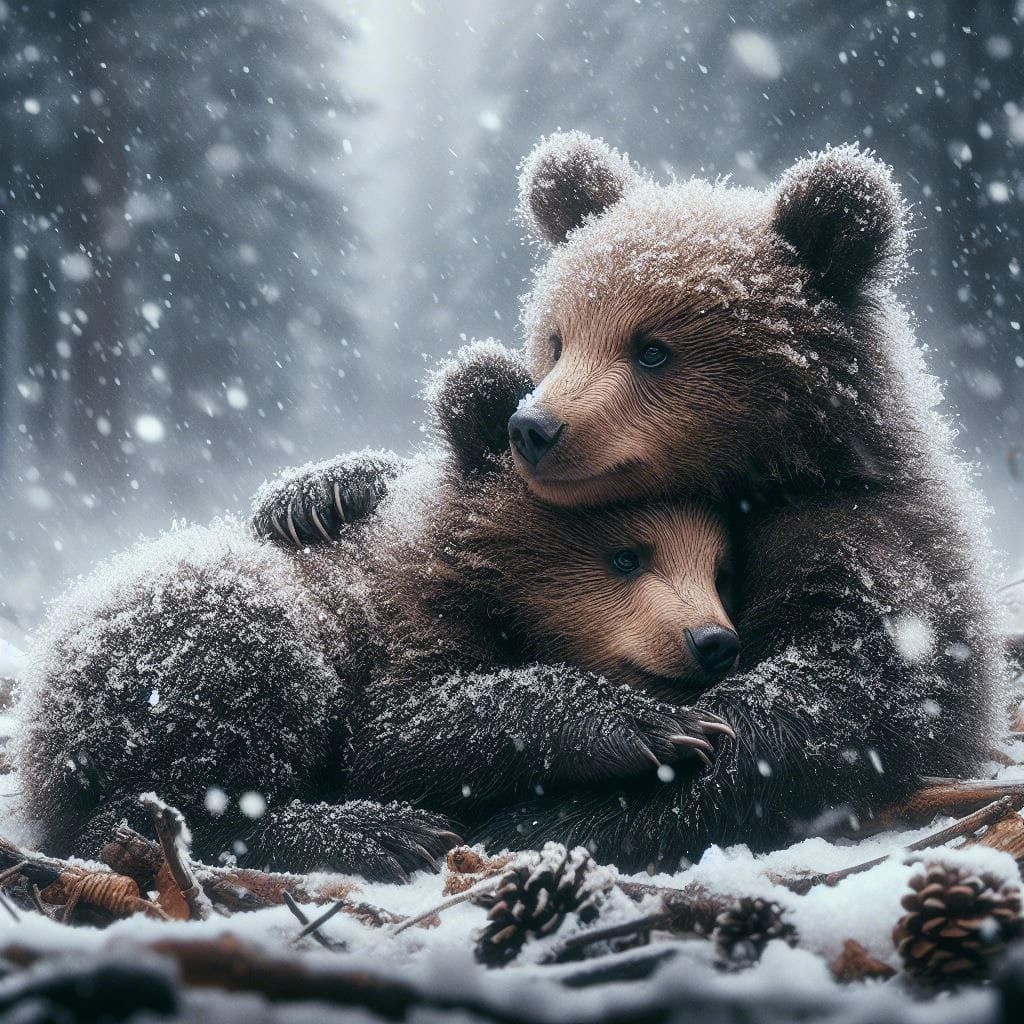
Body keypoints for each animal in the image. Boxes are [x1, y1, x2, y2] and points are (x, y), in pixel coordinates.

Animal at [14, 343, 736, 881]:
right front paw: (653, 724)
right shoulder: (396, 629)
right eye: (628, 555)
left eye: (718, 566)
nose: (712, 641)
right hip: (191, 641)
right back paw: (375, 830)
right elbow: (401, 732)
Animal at [264, 138, 1007, 873]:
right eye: (557, 339)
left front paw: (561, 813)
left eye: (652, 349)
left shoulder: (863, 539)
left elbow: (830, 702)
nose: (532, 427)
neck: (767, 472)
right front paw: (315, 494)